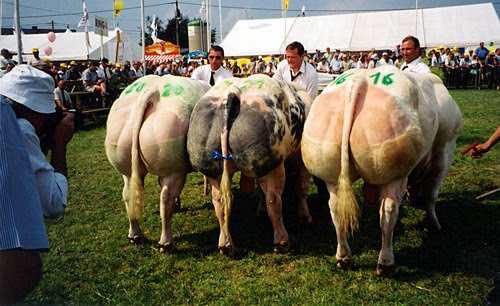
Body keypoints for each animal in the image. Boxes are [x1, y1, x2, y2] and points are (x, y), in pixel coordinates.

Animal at [104, 74, 210, 251]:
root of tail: (152, 91)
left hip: (124, 162)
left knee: (127, 194)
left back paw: (135, 236)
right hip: (173, 166)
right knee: (165, 197)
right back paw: (166, 243)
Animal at [188, 74, 312, 256]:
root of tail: (233, 92)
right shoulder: (302, 162)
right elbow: (301, 187)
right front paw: (304, 216)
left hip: (212, 166)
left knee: (219, 202)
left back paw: (225, 245)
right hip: (271, 164)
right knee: (274, 200)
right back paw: (281, 242)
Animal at [298, 66, 462, 278]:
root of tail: (359, 80)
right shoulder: (446, 147)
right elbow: (432, 193)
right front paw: (432, 224)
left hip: (330, 170)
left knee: (335, 210)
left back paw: (344, 258)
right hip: (393, 172)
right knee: (388, 212)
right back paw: (385, 264)